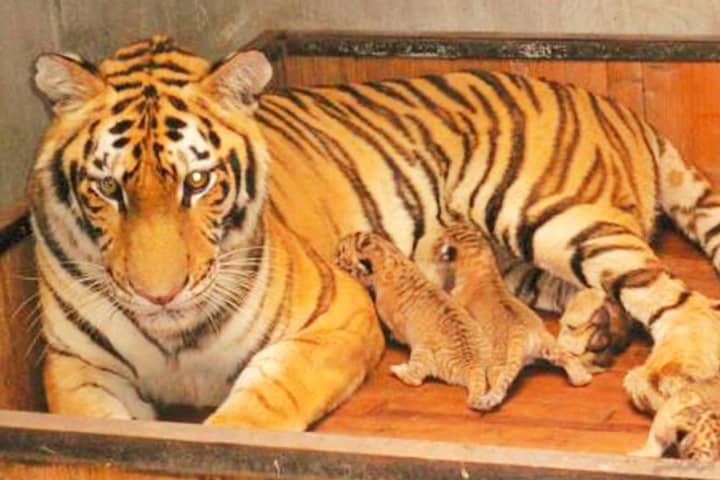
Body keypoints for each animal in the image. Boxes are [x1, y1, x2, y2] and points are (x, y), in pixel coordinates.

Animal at [31, 35, 720, 438]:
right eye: (108, 188)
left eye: (198, 182)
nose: (160, 295)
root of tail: (616, 105)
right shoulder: (77, 368)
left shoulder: (337, 316)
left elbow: (254, 412)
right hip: (510, 259)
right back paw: (596, 330)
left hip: (547, 211)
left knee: (680, 301)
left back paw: (663, 373)